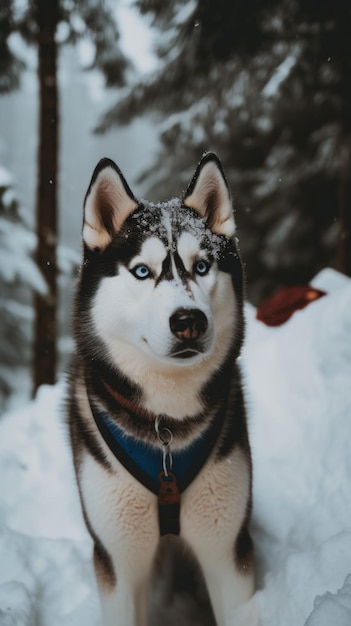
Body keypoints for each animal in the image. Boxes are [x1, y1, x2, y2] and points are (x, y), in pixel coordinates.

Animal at [67, 152, 254, 624]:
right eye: (141, 271)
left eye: (202, 266)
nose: (189, 321)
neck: (167, 419)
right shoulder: (117, 561)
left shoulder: (228, 551)